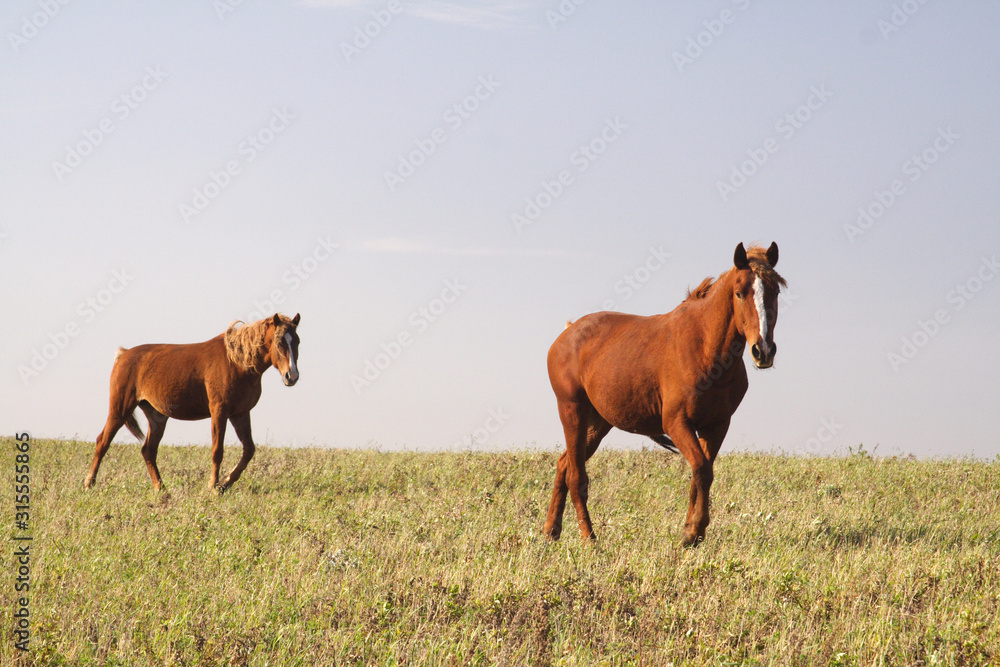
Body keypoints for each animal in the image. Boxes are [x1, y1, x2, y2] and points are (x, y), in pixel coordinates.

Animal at [84, 313, 301, 492]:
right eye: (279, 342)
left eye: (297, 341)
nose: (292, 376)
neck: (236, 362)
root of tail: (124, 354)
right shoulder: (219, 412)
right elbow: (217, 450)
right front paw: (213, 485)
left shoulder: (240, 414)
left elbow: (248, 450)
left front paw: (225, 483)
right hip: (120, 408)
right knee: (103, 441)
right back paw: (89, 483)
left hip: (156, 416)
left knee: (148, 450)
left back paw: (161, 488)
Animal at [543, 243, 784, 546]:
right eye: (739, 292)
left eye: (775, 291)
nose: (763, 351)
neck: (704, 348)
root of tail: (566, 334)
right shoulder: (676, 423)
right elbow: (702, 469)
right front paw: (693, 531)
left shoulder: (716, 426)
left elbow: (701, 474)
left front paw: (692, 531)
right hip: (572, 410)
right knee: (576, 476)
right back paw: (589, 537)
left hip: (598, 423)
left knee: (564, 464)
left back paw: (551, 531)